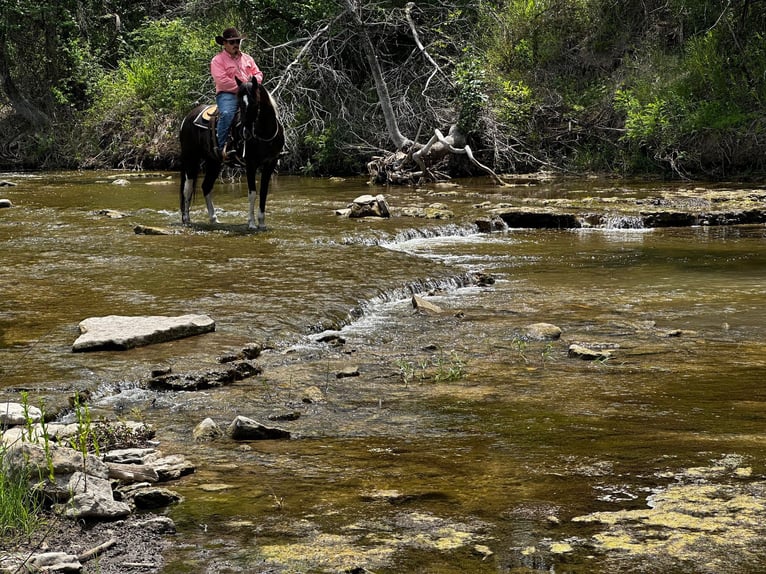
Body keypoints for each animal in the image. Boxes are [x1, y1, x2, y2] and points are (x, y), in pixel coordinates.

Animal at [179, 77, 284, 233]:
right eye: (239, 103)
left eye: (255, 102)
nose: (246, 132)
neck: (265, 134)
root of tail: (187, 117)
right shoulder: (250, 164)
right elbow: (252, 193)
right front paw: (251, 223)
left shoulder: (270, 163)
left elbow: (264, 193)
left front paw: (262, 223)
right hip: (190, 159)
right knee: (188, 188)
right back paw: (187, 220)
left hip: (213, 162)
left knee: (206, 186)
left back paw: (214, 219)